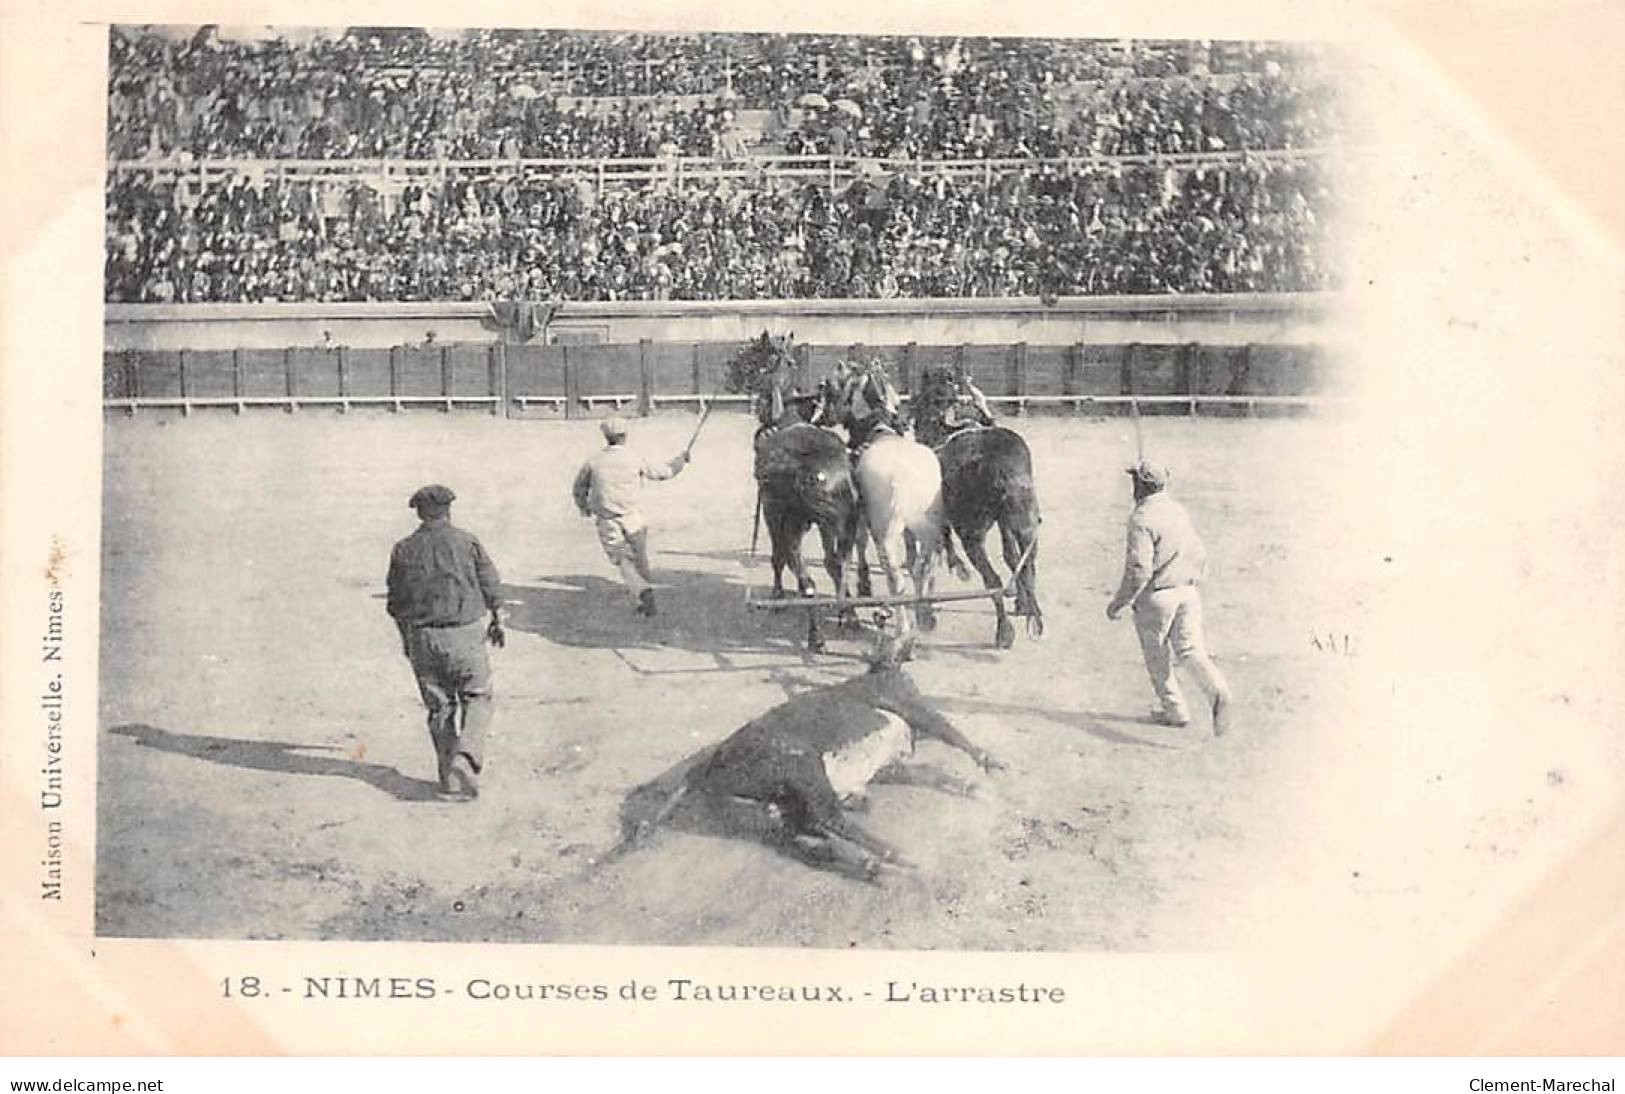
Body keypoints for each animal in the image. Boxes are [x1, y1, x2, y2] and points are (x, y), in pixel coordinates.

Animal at [620, 656, 1001, 877]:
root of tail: (701, 770)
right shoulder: (906, 705)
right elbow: (951, 732)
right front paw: (991, 765)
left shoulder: (888, 765)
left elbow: (931, 772)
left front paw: (975, 787)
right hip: (802, 766)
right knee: (827, 817)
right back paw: (897, 855)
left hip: (768, 808)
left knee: (801, 834)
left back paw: (868, 861)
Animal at [916, 362, 1040, 643]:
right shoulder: (1007, 524)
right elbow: (1012, 557)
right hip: (1024, 521)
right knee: (1026, 564)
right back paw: (1033, 614)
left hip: (973, 534)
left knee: (993, 579)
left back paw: (1004, 631)